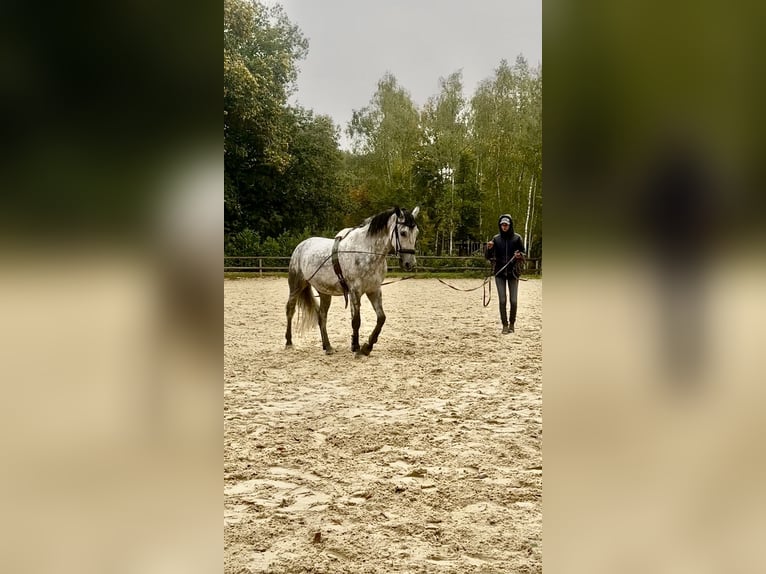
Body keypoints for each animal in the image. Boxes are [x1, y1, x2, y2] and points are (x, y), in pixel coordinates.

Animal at [285, 206, 420, 356]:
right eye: (403, 233)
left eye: (416, 233)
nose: (410, 264)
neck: (366, 251)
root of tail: (301, 245)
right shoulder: (355, 291)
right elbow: (356, 321)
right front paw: (356, 347)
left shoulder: (374, 290)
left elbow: (381, 318)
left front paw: (367, 346)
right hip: (296, 285)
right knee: (290, 310)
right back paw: (289, 342)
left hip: (324, 292)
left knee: (322, 316)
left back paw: (327, 346)